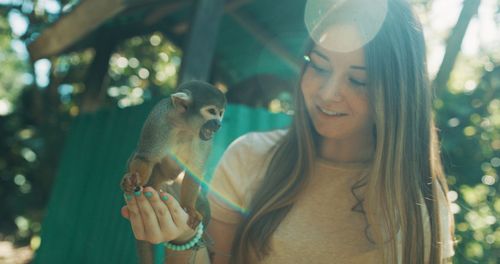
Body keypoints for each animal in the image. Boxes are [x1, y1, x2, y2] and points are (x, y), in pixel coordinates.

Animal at [120, 80, 226, 229]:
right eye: (212, 111)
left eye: (220, 113)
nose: (218, 124)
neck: (184, 124)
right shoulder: (159, 118)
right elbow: (146, 158)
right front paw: (132, 179)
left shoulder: (204, 138)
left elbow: (194, 171)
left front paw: (189, 208)